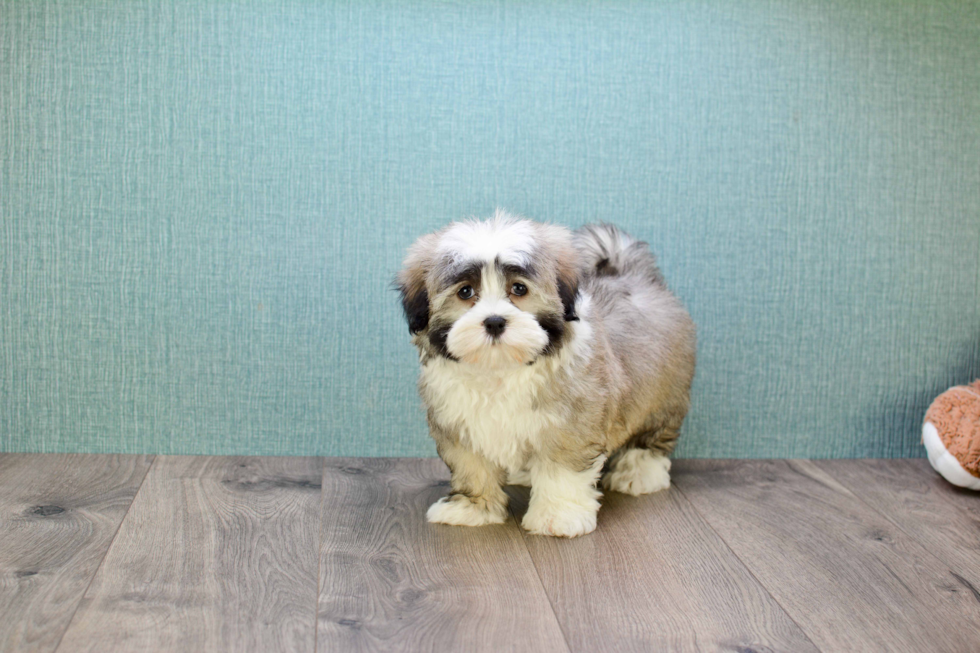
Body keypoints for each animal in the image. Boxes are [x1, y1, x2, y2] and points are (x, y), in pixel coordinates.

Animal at [394, 211, 692, 536]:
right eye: (465, 292)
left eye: (519, 289)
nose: (495, 321)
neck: (500, 369)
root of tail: (633, 276)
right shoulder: (459, 422)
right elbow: (472, 466)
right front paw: (472, 507)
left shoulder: (570, 422)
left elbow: (562, 469)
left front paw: (558, 515)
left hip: (662, 393)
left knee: (653, 434)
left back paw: (639, 472)